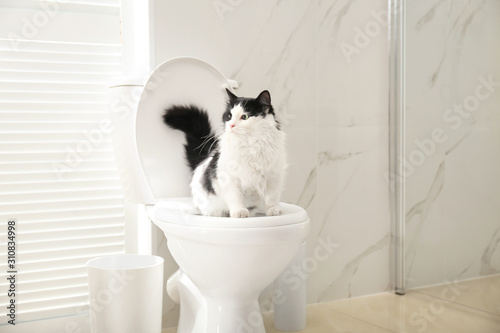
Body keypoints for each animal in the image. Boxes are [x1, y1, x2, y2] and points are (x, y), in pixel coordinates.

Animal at [164, 89, 288, 218]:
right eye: (229, 116)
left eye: (245, 117)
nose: (231, 125)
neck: (250, 144)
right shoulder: (229, 179)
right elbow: (236, 198)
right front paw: (239, 212)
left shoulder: (273, 176)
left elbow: (272, 197)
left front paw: (274, 211)